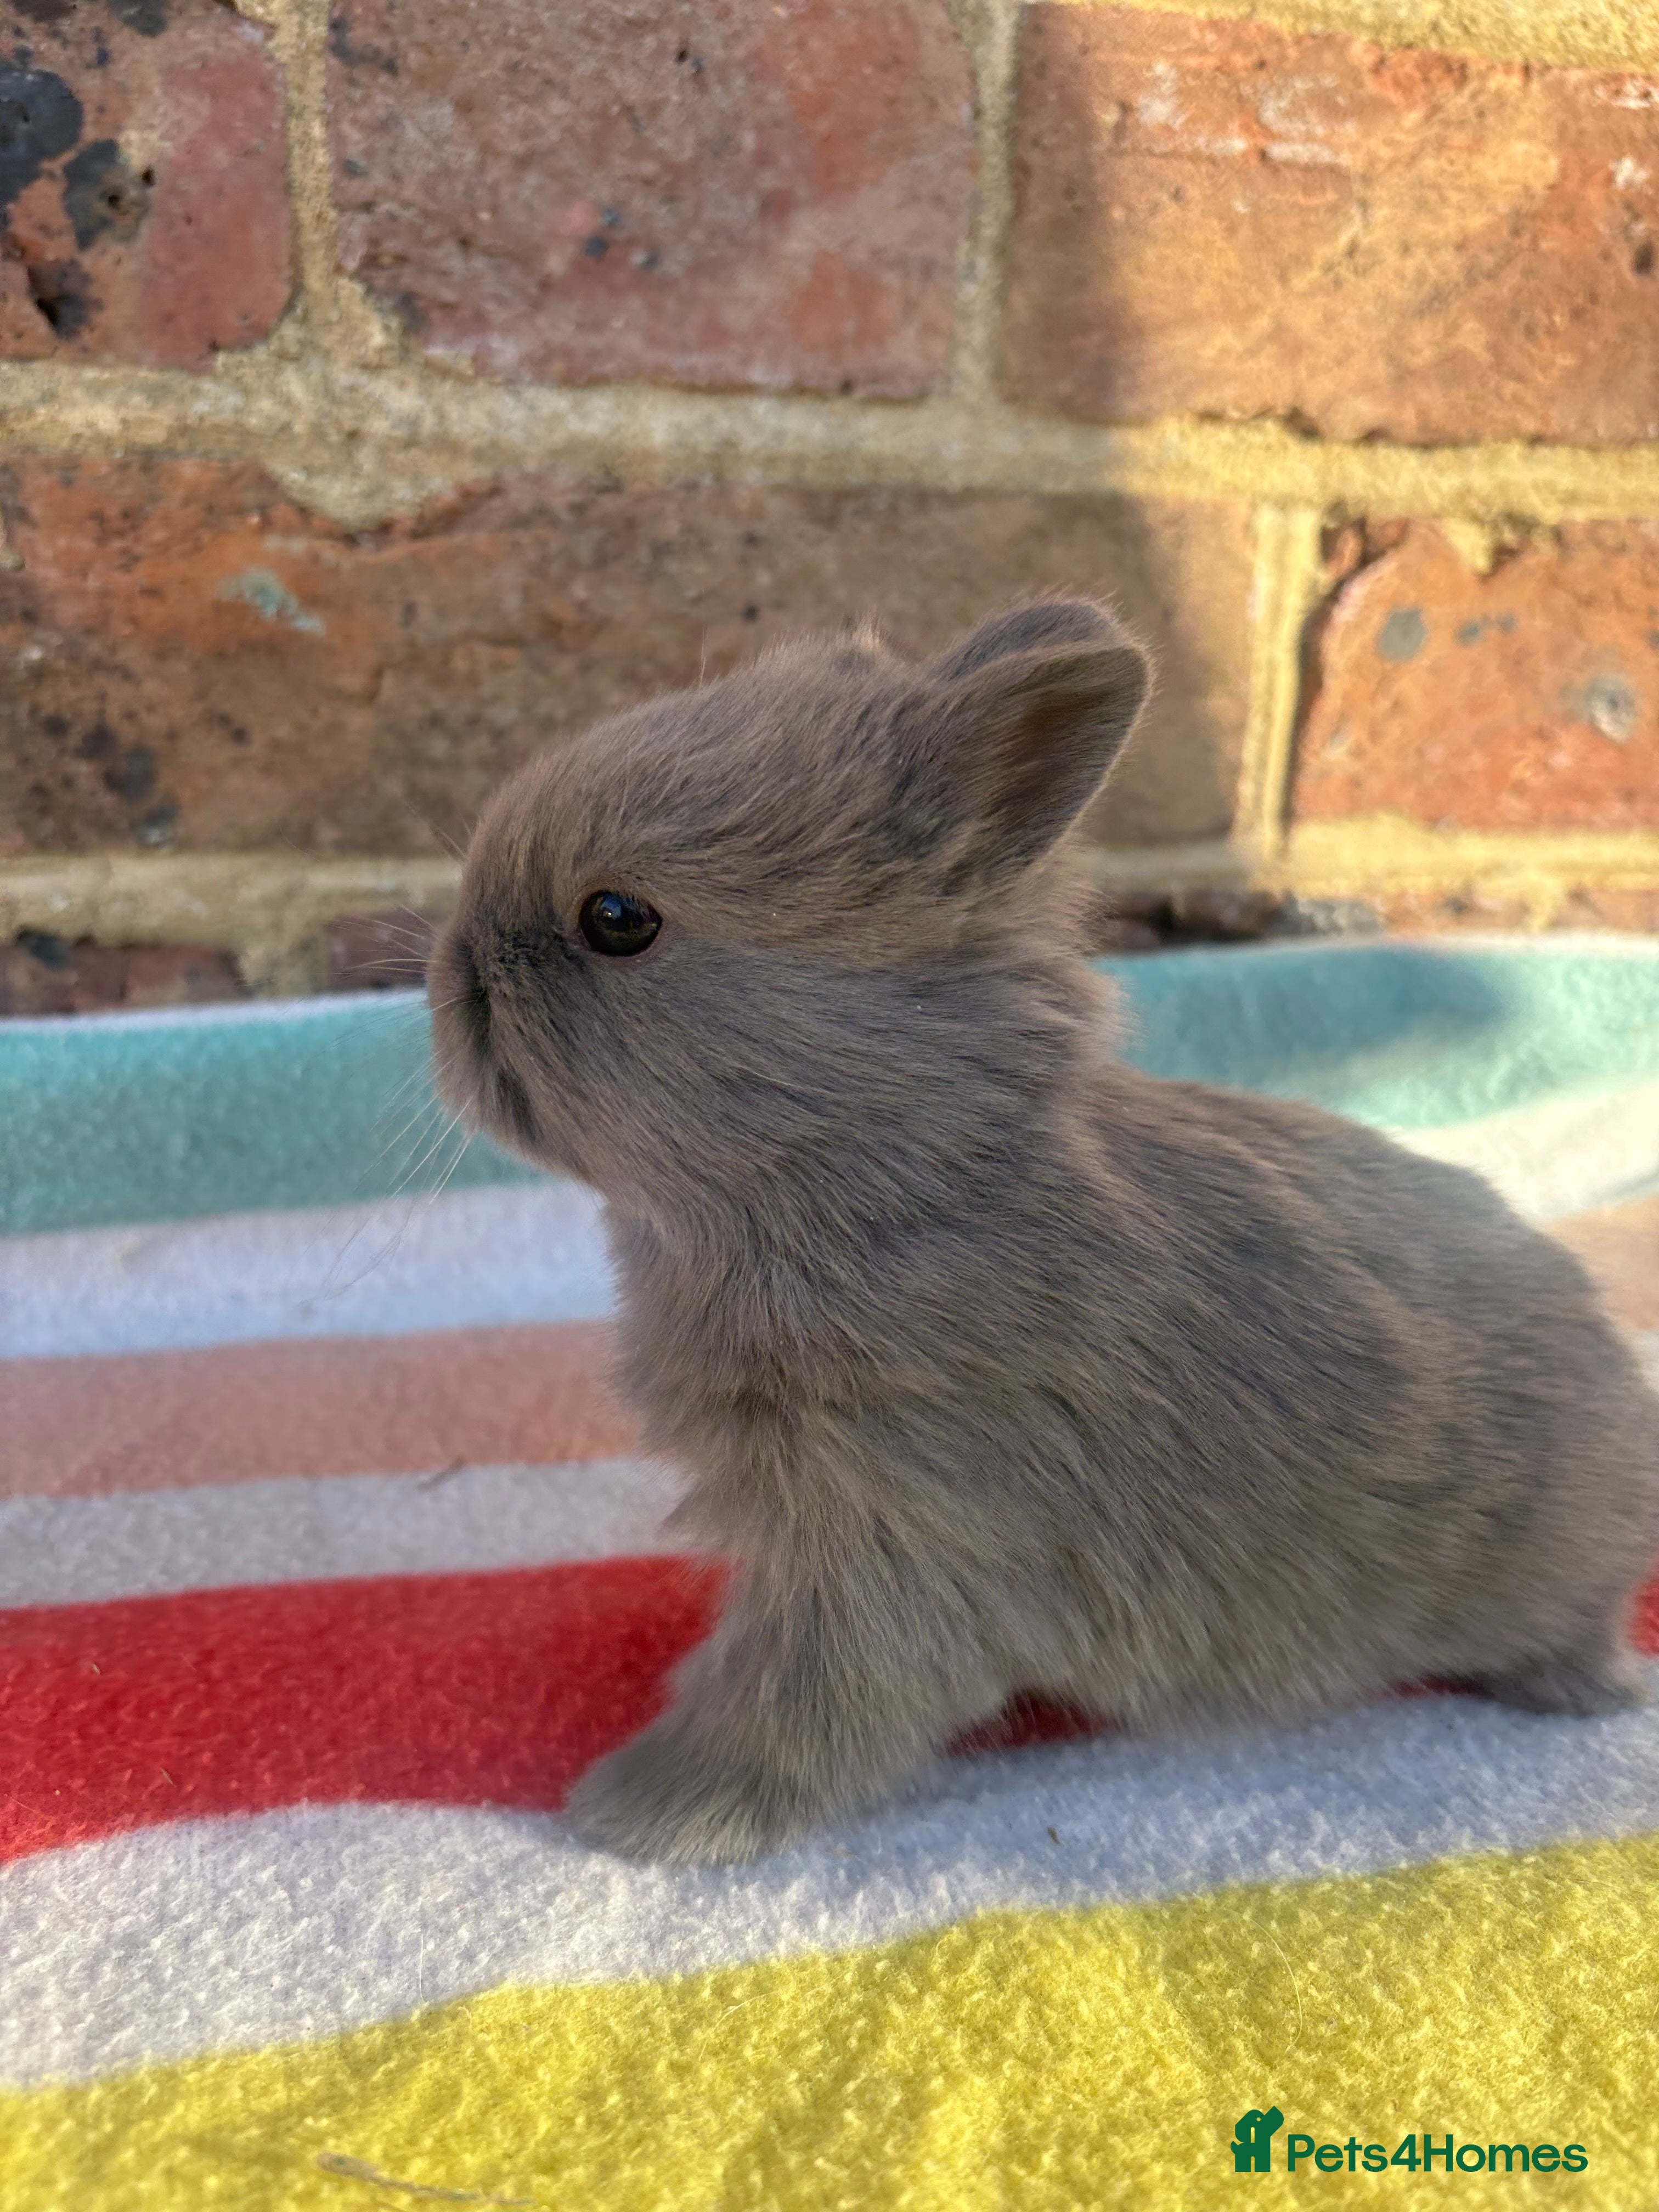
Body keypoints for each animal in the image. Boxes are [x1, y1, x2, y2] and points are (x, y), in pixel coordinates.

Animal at [429, 598, 1659, 1866]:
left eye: (618, 921)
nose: (449, 968)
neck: (879, 1173)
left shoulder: (897, 1543)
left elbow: (791, 1705)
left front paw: (633, 1814)